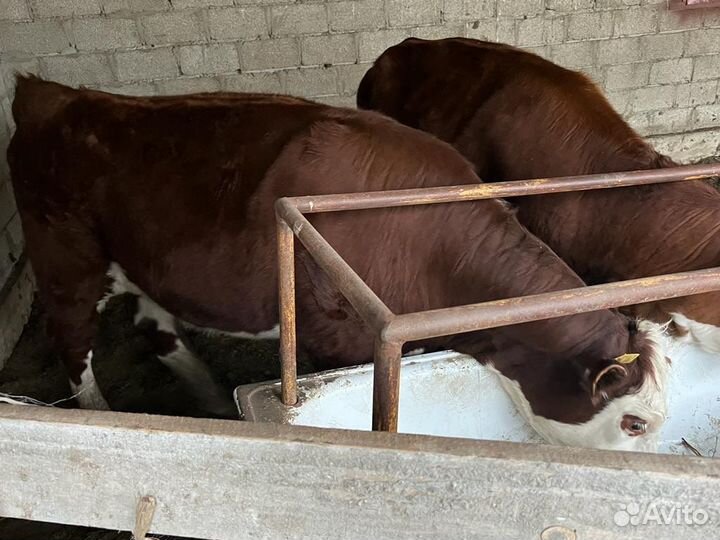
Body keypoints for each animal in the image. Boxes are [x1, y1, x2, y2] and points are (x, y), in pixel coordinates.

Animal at [7, 75, 668, 451]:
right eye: (634, 422)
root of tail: (56, 96)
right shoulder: (336, 335)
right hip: (64, 255)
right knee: (72, 338)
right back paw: (101, 412)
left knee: (156, 326)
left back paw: (215, 400)